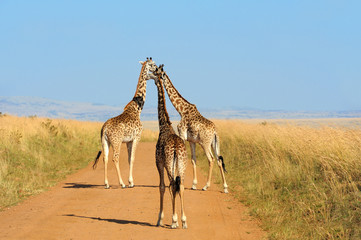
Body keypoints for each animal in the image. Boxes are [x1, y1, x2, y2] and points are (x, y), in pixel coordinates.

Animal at [93, 57, 156, 188]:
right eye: (153, 65)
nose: (157, 70)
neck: (137, 109)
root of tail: (104, 128)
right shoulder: (137, 137)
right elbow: (132, 158)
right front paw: (131, 182)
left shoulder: (128, 141)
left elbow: (128, 159)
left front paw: (130, 181)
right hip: (116, 141)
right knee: (115, 158)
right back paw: (121, 183)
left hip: (105, 141)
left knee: (105, 158)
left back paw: (106, 183)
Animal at [154, 63, 228, 193]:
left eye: (157, 70)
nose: (153, 74)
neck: (181, 110)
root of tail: (214, 131)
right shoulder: (192, 141)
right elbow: (193, 160)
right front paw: (193, 184)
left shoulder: (182, 135)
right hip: (214, 143)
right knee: (219, 160)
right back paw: (225, 187)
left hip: (205, 143)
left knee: (211, 159)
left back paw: (205, 186)